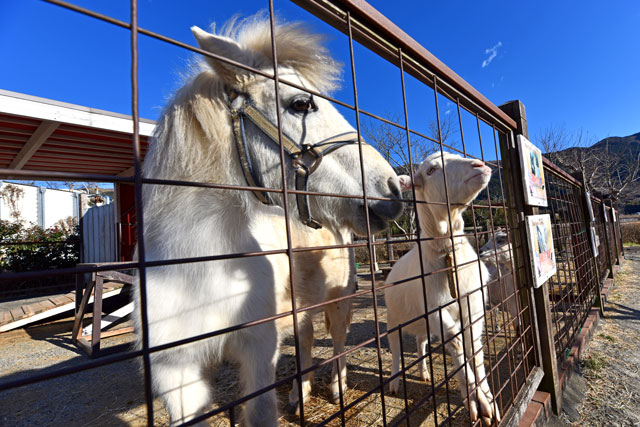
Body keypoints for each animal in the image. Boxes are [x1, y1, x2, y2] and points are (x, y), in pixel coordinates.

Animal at [134, 15, 404, 426]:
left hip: (339, 297)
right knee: (307, 339)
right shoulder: (175, 372)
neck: (197, 266)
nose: (392, 188)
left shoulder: (260, 349)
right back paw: (299, 393)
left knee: (337, 340)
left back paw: (338, 387)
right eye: (300, 103)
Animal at [384, 151, 500, 424]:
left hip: (423, 321)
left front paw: (487, 397)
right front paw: (476, 401)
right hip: (393, 318)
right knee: (395, 349)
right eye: (431, 170)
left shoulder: (473, 305)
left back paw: (424, 372)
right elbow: (456, 343)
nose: (479, 165)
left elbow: (475, 347)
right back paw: (394, 382)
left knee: (421, 342)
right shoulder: (437, 309)